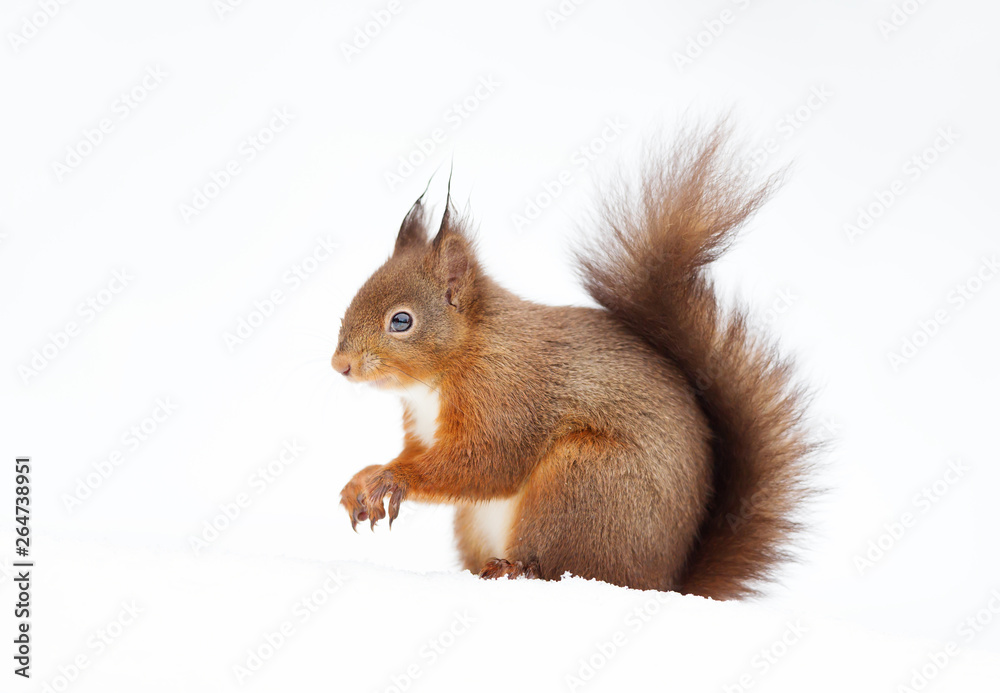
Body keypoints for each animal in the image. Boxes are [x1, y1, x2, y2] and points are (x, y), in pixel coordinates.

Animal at [332, 122, 815, 600]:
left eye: (401, 321)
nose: (341, 366)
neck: (448, 369)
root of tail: (665, 583)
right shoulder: (425, 428)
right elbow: (424, 455)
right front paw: (361, 481)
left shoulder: (506, 397)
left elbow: (484, 462)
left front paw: (390, 479)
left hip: (581, 480)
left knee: (557, 566)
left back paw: (515, 569)